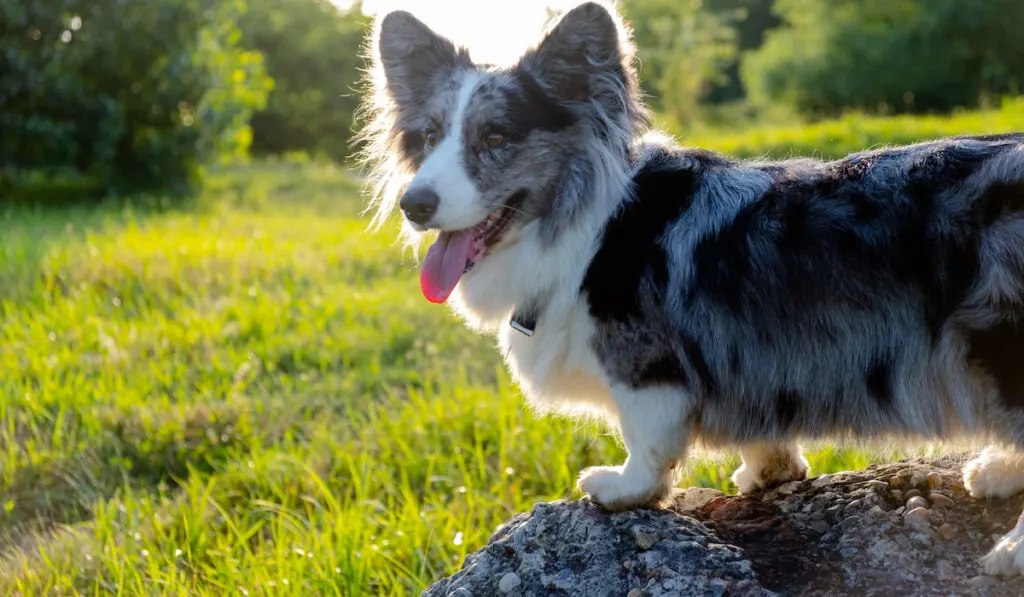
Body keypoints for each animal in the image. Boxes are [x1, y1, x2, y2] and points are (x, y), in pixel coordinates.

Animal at [356, 1, 1024, 577]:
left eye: (496, 138)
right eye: (427, 138)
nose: (415, 205)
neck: (586, 220)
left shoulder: (645, 369)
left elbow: (646, 443)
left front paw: (620, 489)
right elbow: (764, 431)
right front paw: (770, 469)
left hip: (995, 346)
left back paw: (1011, 550)